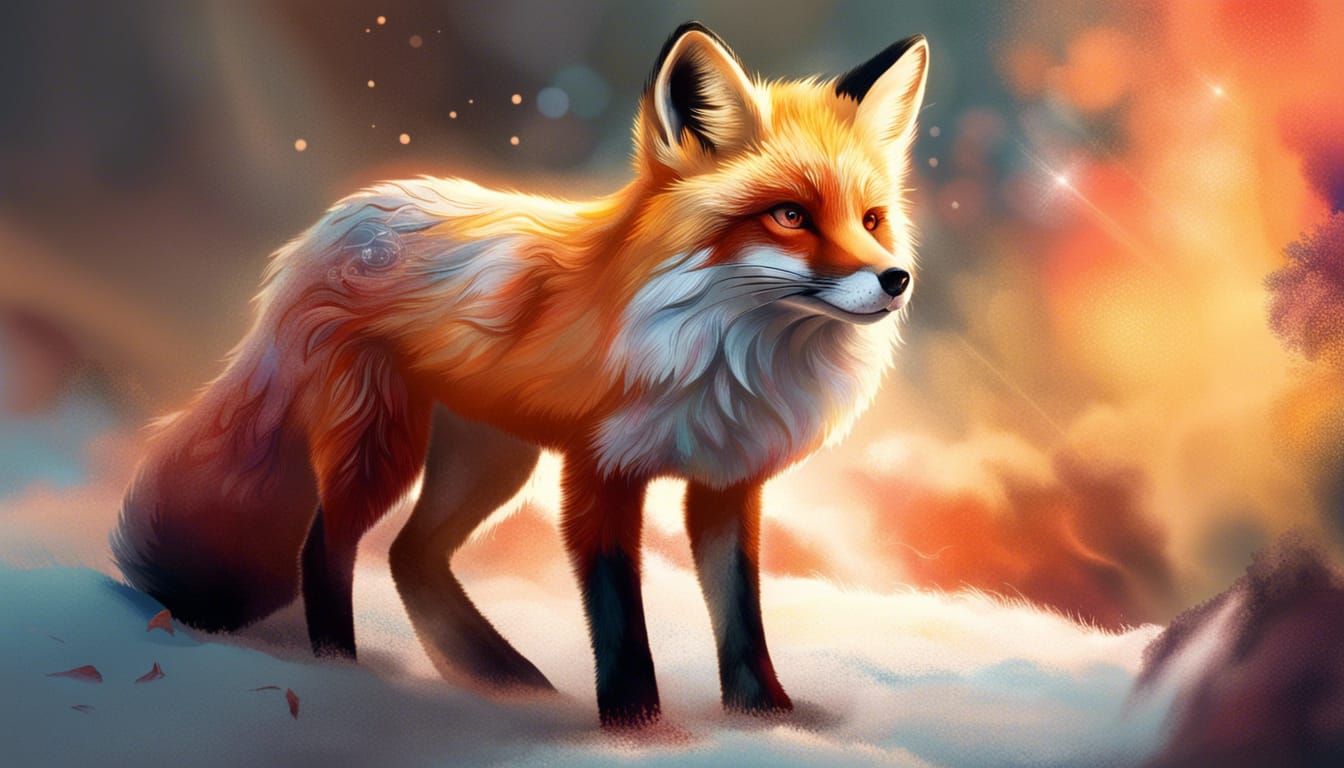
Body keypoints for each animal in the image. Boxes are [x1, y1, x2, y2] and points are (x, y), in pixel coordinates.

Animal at [112, 22, 929, 726]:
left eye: (872, 219)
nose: (897, 280)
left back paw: (496, 676)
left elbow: (742, 617)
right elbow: (620, 622)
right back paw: (345, 675)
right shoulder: (600, 472)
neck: (723, 353)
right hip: (383, 443)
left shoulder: (727, 483)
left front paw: (765, 720)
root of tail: (337, 220)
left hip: (490, 459)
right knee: (326, 549)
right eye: (790, 216)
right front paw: (637, 729)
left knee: (412, 556)